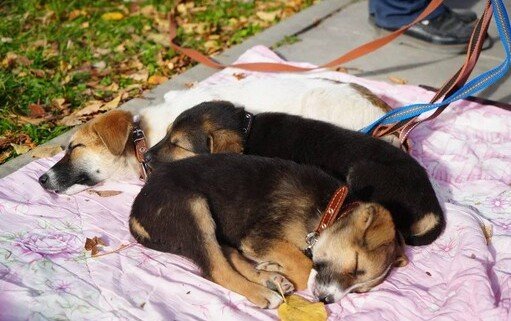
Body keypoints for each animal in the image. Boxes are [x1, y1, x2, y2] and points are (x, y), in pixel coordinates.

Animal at [130, 154, 410, 306]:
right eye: (355, 267)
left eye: (360, 290)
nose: (326, 301)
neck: (330, 209)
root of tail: (137, 210)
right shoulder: (258, 237)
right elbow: (305, 267)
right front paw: (287, 268)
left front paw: (274, 266)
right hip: (193, 208)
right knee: (217, 269)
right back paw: (264, 292)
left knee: (226, 255)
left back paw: (271, 278)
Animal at [143, 100, 444, 245]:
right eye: (166, 134)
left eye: (177, 144)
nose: (145, 158)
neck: (246, 130)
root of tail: (432, 204)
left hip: (362, 173)